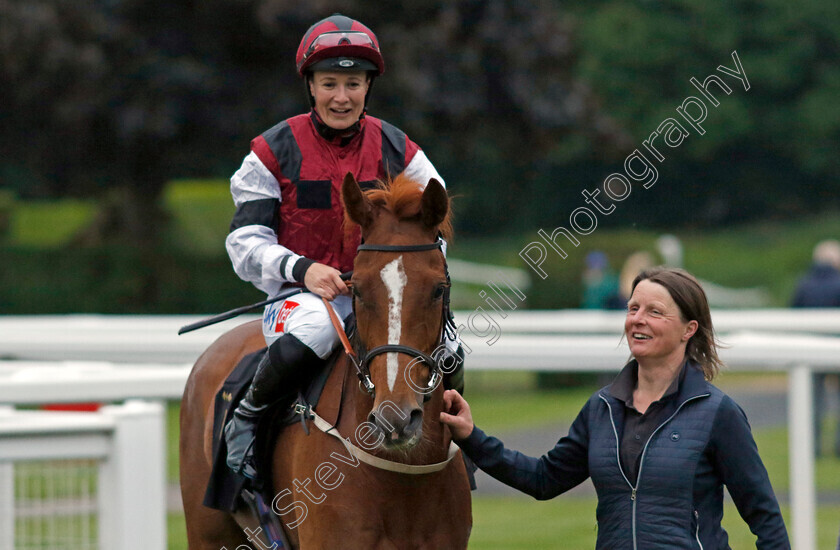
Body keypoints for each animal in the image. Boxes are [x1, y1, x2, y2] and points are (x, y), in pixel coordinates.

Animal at [181, 175, 472, 548]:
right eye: (357, 289)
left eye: (438, 289)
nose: (394, 419)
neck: (402, 474)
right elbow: (248, 233)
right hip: (208, 530)